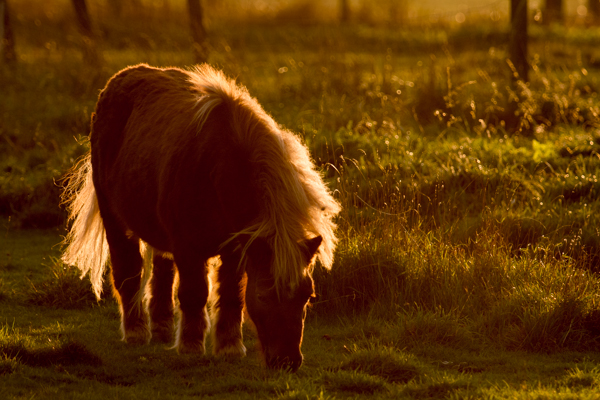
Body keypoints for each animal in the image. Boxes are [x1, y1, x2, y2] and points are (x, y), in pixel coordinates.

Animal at [63, 63, 342, 372]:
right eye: (265, 295)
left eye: (308, 295)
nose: (288, 362)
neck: (219, 171)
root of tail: (122, 77)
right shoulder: (189, 248)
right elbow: (195, 293)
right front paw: (191, 346)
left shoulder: (236, 250)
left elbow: (231, 295)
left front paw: (230, 347)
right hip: (115, 218)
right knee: (129, 270)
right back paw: (136, 331)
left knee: (162, 272)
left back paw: (162, 328)